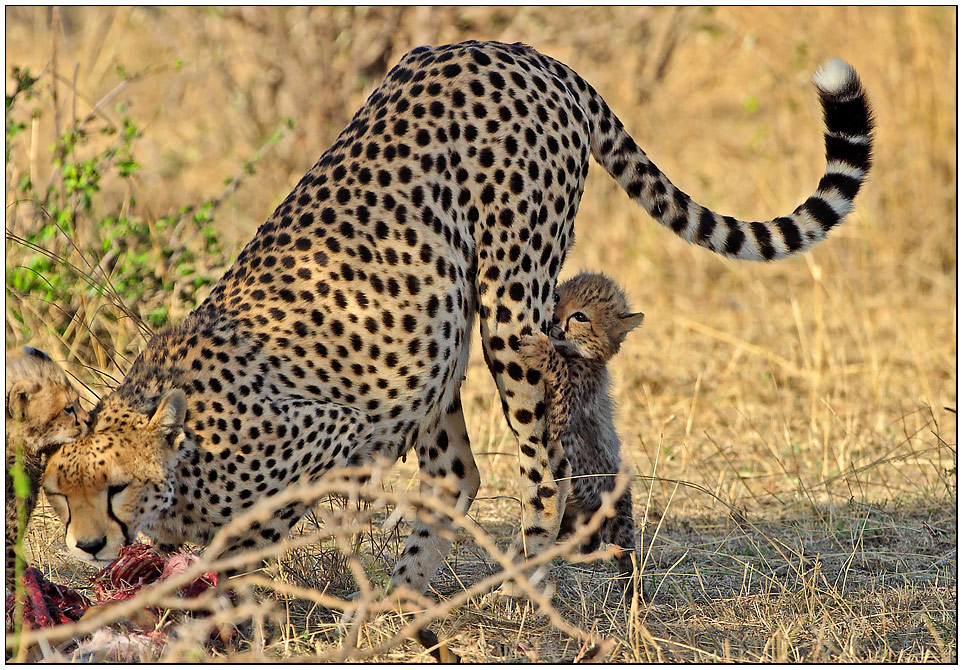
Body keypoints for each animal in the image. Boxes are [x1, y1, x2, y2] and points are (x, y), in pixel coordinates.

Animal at [43, 43, 872, 600]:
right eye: (58, 489)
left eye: (114, 487)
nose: (86, 546)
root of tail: (524, 53)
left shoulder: (331, 439)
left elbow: (248, 542)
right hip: (434, 328)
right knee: (458, 473)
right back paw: (404, 595)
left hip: (511, 306)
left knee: (542, 468)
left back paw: (520, 581)